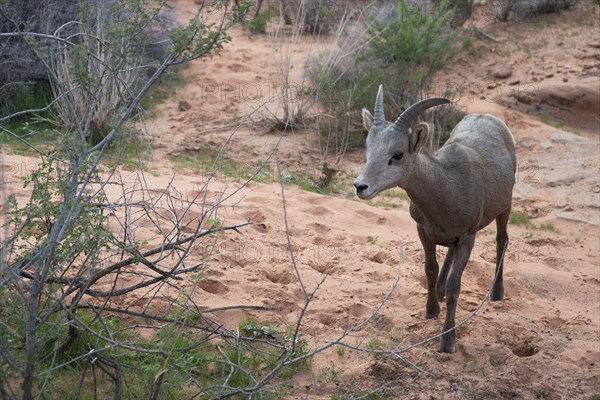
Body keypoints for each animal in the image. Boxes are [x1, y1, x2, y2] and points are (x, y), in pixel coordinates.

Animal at [356, 86, 516, 354]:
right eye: (368, 148)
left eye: (397, 154)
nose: (360, 186)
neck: (449, 188)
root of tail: (491, 119)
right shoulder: (423, 230)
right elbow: (430, 269)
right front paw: (431, 310)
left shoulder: (468, 237)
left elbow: (455, 287)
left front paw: (447, 341)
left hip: (506, 206)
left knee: (501, 239)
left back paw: (497, 293)